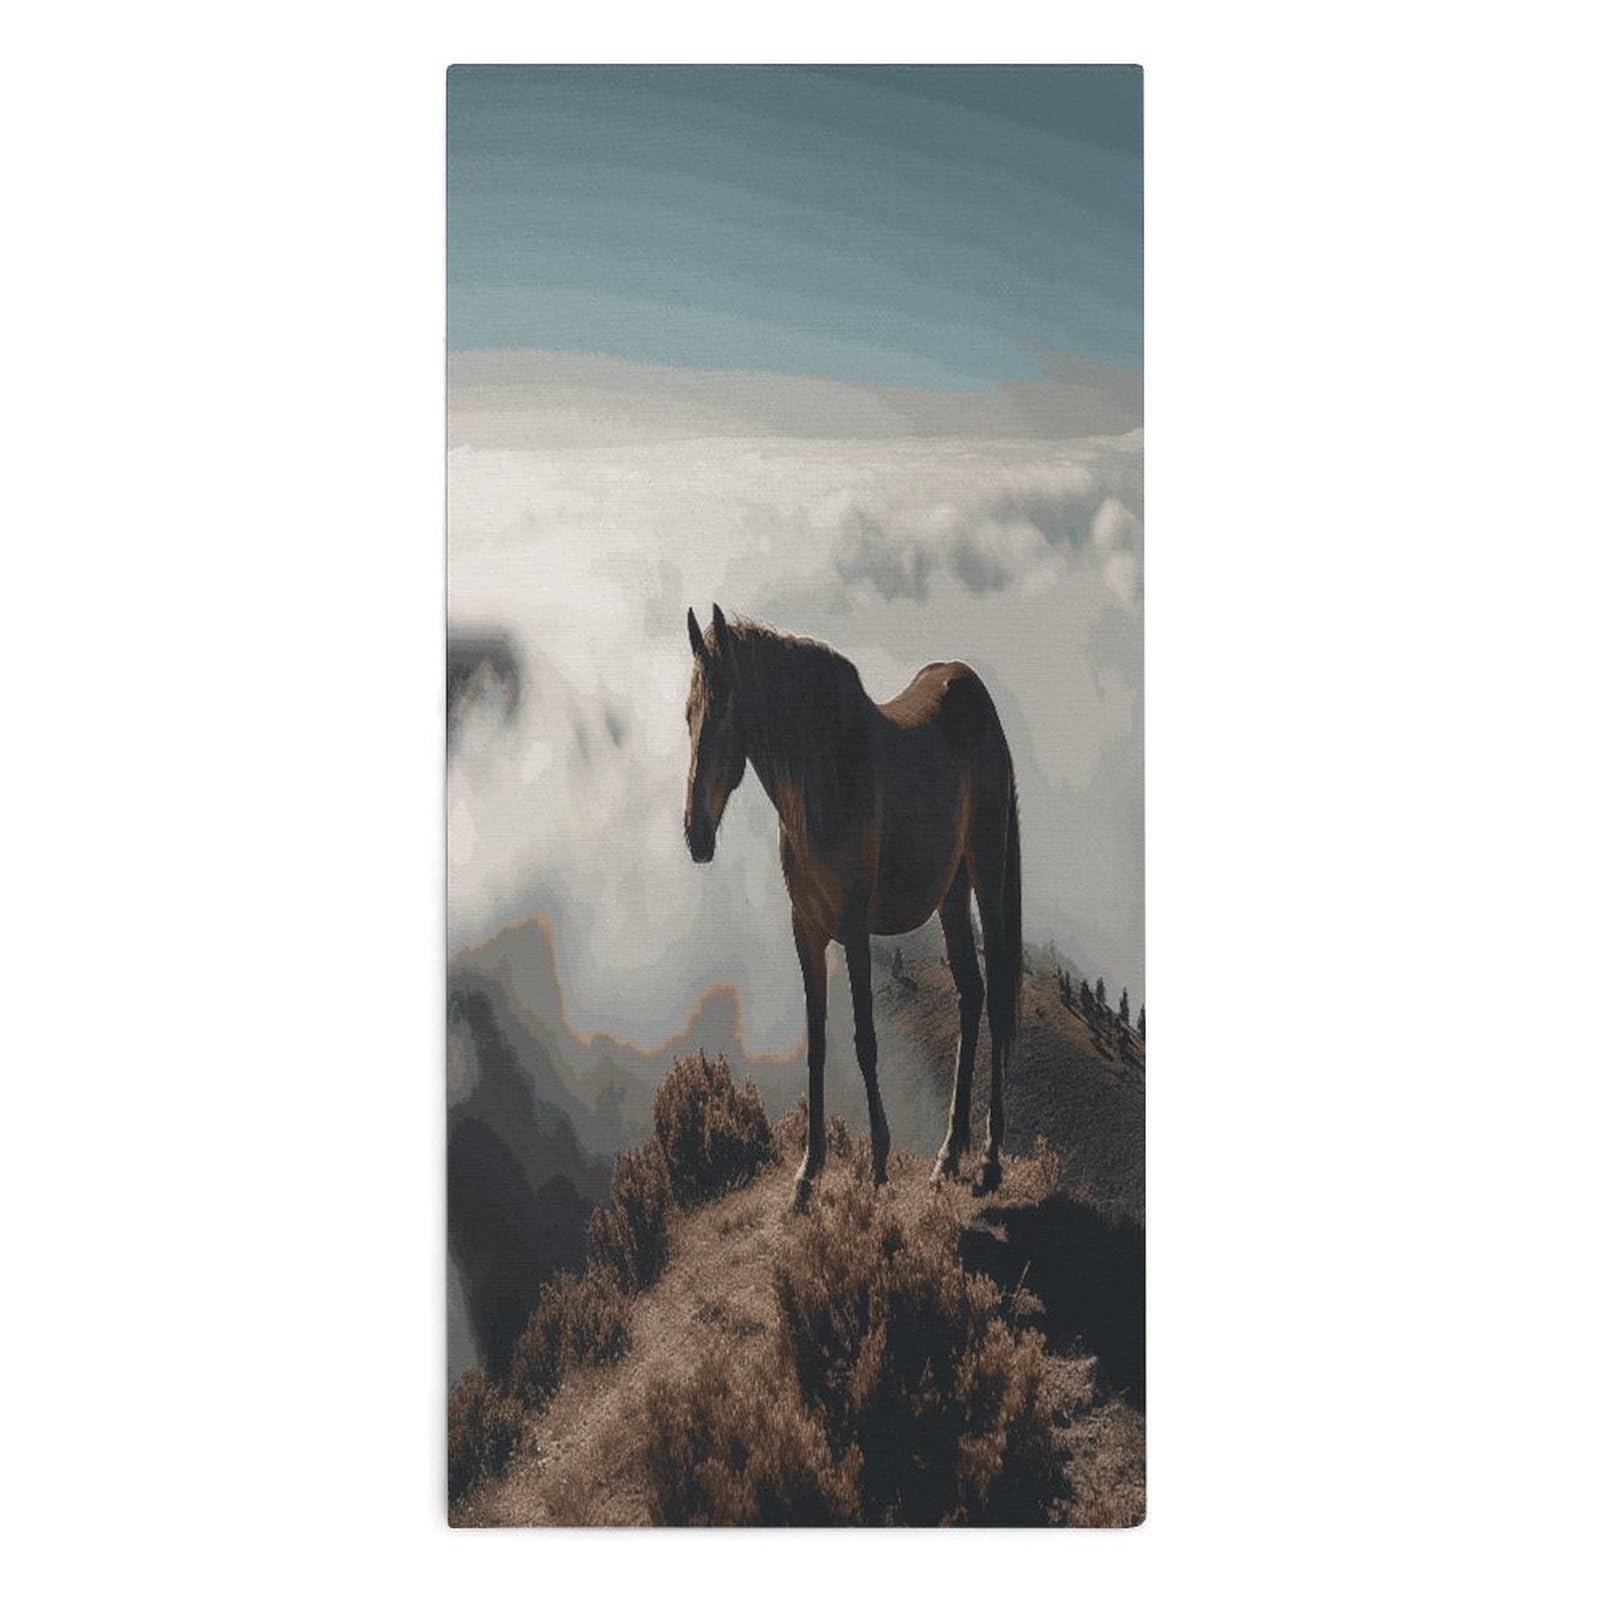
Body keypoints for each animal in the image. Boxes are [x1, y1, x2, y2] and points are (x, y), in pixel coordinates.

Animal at [682, 604, 1022, 1210]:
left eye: (722, 711)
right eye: (687, 715)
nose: (695, 834)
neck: (825, 781)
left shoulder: (856, 929)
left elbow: (865, 1038)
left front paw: (880, 1161)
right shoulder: (807, 931)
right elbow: (817, 1042)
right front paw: (807, 1174)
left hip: (986, 871)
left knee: (998, 993)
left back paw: (987, 1159)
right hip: (952, 892)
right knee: (971, 991)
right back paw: (947, 1156)